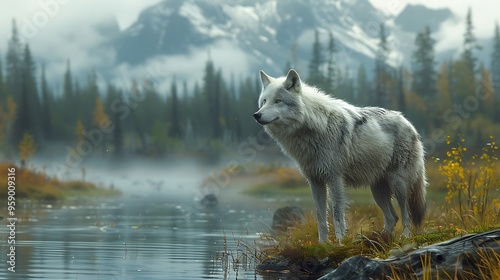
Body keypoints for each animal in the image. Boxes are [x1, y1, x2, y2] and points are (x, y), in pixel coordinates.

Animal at [254, 69, 426, 242]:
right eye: (264, 101)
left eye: (278, 101)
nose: (256, 115)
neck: (313, 128)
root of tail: (409, 124)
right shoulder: (315, 181)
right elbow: (321, 219)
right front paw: (322, 244)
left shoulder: (334, 179)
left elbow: (337, 215)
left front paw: (340, 243)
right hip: (377, 190)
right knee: (392, 217)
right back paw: (378, 239)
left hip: (399, 185)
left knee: (406, 215)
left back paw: (404, 238)